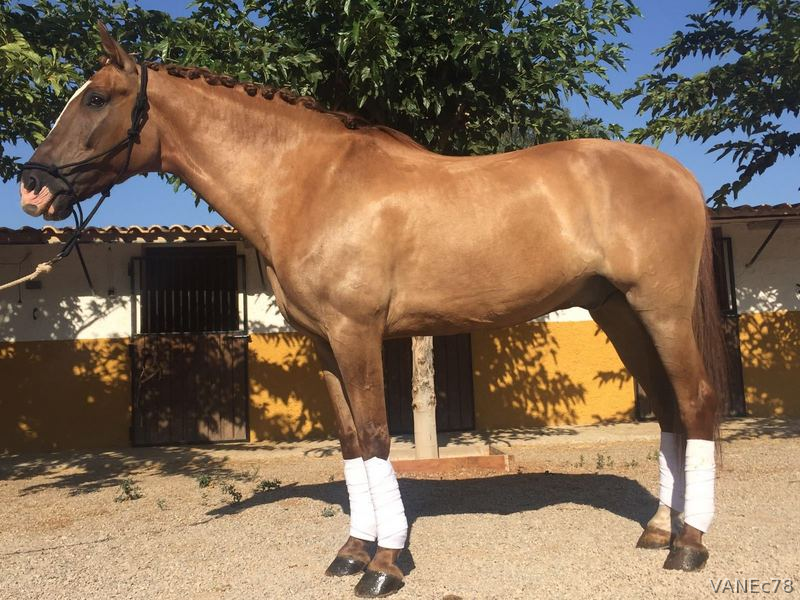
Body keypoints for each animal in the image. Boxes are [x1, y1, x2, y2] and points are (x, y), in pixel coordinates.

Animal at [18, 23, 726, 597]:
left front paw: (385, 565)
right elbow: (353, 441)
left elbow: (381, 436)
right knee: (669, 408)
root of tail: (677, 173)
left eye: (96, 98)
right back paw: (658, 531)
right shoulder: (324, 342)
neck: (309, 183)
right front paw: (352, 551)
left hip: (659, 310)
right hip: (619, 313)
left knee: (695, 402)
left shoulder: (357, 333)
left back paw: (689, 547)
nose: (31, 188)